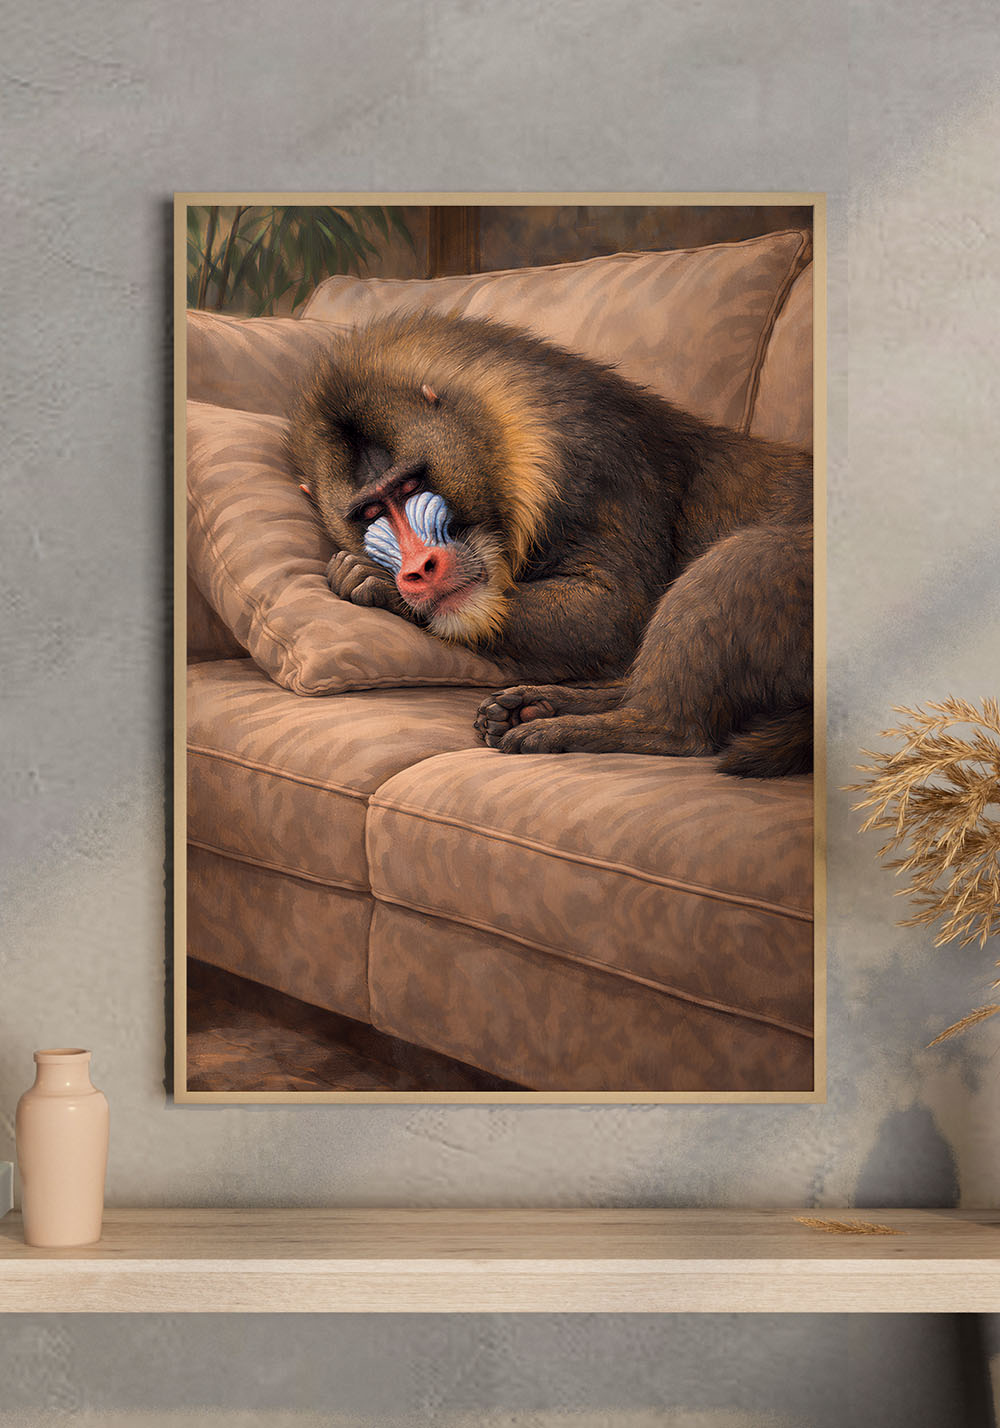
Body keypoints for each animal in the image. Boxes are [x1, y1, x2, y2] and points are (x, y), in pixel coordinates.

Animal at [285, 309, 813, 777]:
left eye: (410, 486)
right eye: (371, 512)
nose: (420, 569)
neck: (503, 446)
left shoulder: (596, 470)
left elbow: (609, 613)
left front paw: (370, 581)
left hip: (765, 565)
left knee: (681, 720)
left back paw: (562, 727)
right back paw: (537, 705)